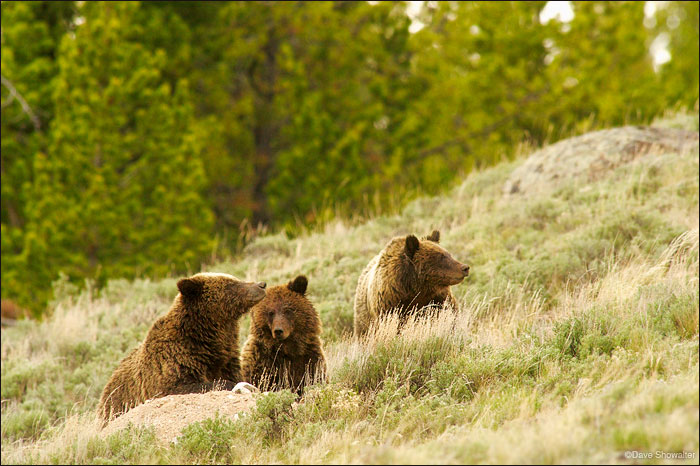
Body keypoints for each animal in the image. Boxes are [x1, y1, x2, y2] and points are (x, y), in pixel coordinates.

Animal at [95, 274, 266, 422]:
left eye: (235, 278)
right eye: (231, 284)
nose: (261, 285)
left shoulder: (226, 359)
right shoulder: (173, 362)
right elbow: (183, 386)